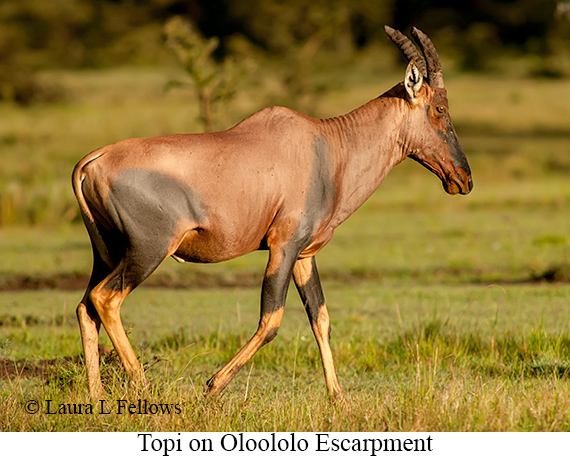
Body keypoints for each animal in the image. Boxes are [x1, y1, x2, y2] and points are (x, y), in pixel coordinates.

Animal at [72, 27, 470, 400]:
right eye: (439, 109)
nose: (463, 179)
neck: (326, 146)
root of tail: (92, 160)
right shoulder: (283, 246)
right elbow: (272, 318)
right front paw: (213, 385)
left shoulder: (304, 255)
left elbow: (320, 318)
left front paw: (338, 397)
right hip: (148, 251)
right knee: (105, 299)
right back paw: (143, 386)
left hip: (107, 252)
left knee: (85, 306)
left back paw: (96, 396)